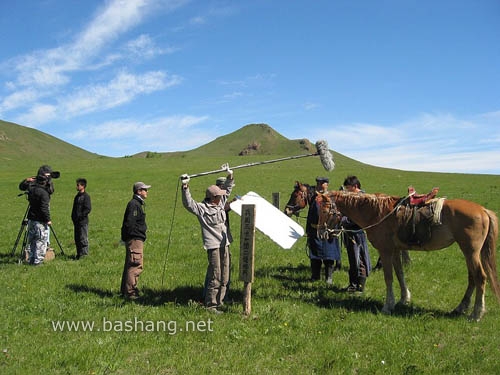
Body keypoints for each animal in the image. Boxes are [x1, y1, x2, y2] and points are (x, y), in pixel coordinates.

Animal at [316, 189, 500, 322]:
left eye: (325, 210)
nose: (321, 232)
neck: (376, 212)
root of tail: (483, 210)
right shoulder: (396, 250)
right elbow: (400, 274)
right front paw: (404, 299)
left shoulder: (385, 250)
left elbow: (389, 277)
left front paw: (388, 306)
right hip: (468, 252)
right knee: (472, 278)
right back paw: (461, 308)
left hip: (471, 251)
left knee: (480, 277)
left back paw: (476, 314)